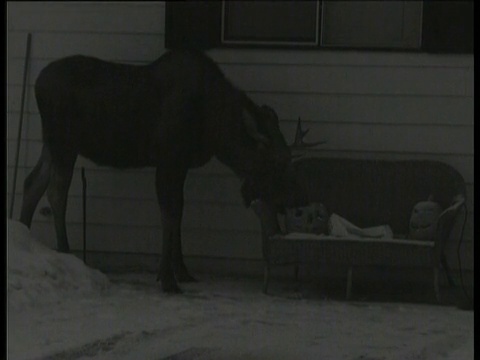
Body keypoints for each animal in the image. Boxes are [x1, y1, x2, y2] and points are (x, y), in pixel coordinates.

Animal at [19, 50, 318, 292]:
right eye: (278, 162)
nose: (302, 198)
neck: (213, 129)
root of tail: (37, 85)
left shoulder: (180, 165)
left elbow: (179, 212)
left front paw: (182, 271)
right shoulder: (167, 160)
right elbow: (169, 214)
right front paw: (167, 278)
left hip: (51, 143)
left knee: (32, 182)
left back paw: (22, 235)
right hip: (64, 142)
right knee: (56, 191)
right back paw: (66, 251)